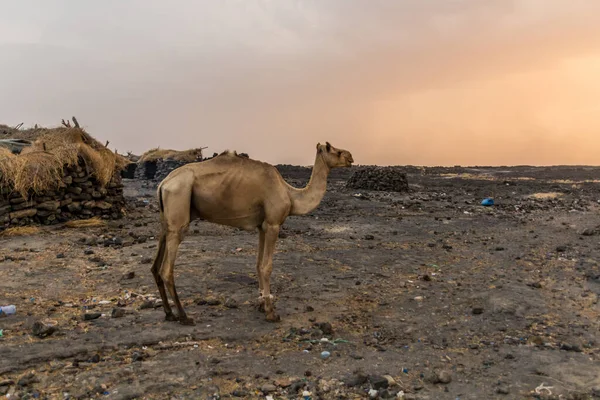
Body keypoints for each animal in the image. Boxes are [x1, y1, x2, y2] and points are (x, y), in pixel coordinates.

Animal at [152, 142, 354, 324]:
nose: (350, 157)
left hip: (165, 221)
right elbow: (267, 267)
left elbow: (258, 265)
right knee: (167, 269)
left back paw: (169, 314)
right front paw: (271, 312)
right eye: (333, 149)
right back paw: (184, 316)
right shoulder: (273, 224)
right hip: (179, 206)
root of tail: (163, 183)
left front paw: (262, 303)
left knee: (155, 266)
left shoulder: (262, 226)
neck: (290, 194)